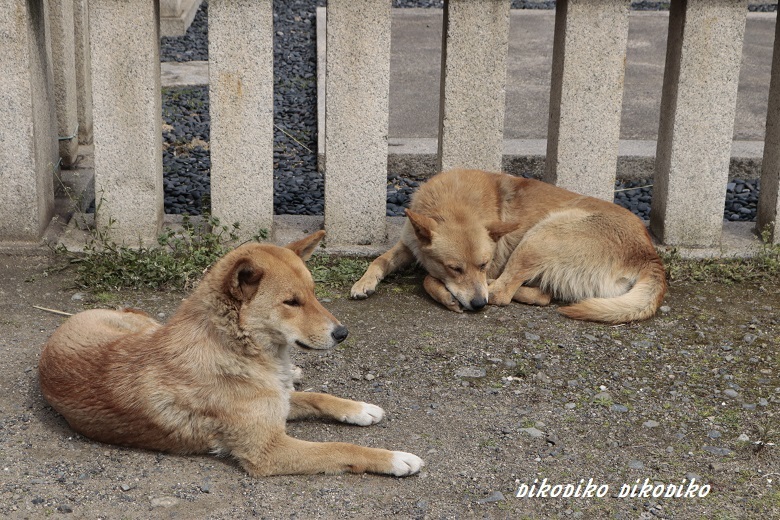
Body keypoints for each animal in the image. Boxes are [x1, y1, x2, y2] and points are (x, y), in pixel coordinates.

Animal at [39, 234, 424, 478]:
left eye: (314, 294)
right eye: (291, 302)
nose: (342, 334)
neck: (239, 350)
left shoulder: (276, 402)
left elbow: (318, 397)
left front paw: (359, 409)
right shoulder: (268, 450)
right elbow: (341, 449)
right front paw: (394, 459)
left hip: (143, 326)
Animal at [354, 170, 664, 324]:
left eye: (483, 263)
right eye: (455, 268)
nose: (478, 305)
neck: (454, 204)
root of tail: (650, 256)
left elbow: (429, 278)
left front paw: (445, 294)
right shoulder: (408, 244)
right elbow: (379, 260)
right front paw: (363, 283)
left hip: (541, 235)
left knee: (502, 292)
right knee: (541, 295)